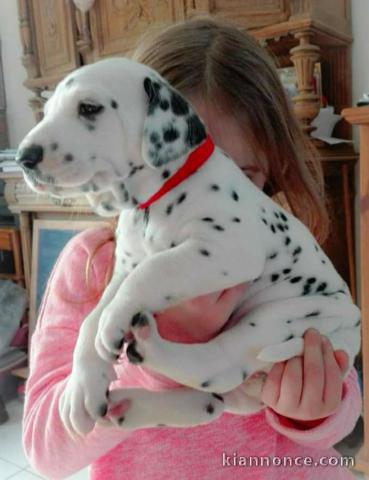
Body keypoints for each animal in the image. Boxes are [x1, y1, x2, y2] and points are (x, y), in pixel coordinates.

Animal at [15, 57, 360, 438]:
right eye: (46, 111)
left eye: (89, 108)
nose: (23, 157)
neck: (156, 197)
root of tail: (351, 337)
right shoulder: (123, 269)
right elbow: (91, 319)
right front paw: (82, 388)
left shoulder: (226, 249)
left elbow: (155, 270)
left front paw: (114, 320)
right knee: (209, 401)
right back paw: (131, 404)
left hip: (283, 317)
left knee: (217, 363)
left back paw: (149, 347)